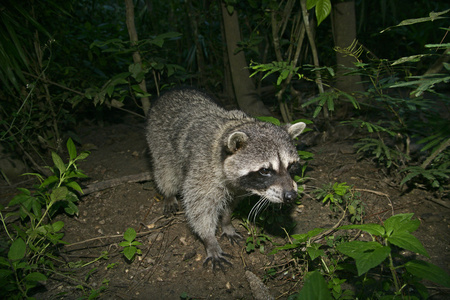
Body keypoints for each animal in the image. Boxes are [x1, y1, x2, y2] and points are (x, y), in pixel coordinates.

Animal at [147, 88, 306, 270]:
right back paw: (168, 193)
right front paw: (209, 240)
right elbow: (199, 207)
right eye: (265, 170)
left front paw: (226, 222)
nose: (291, 196)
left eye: (291, 166)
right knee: (166, 172)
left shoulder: (237, 187)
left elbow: (230, 203)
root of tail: (172, 90)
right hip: (158, 141)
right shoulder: (203, 171)